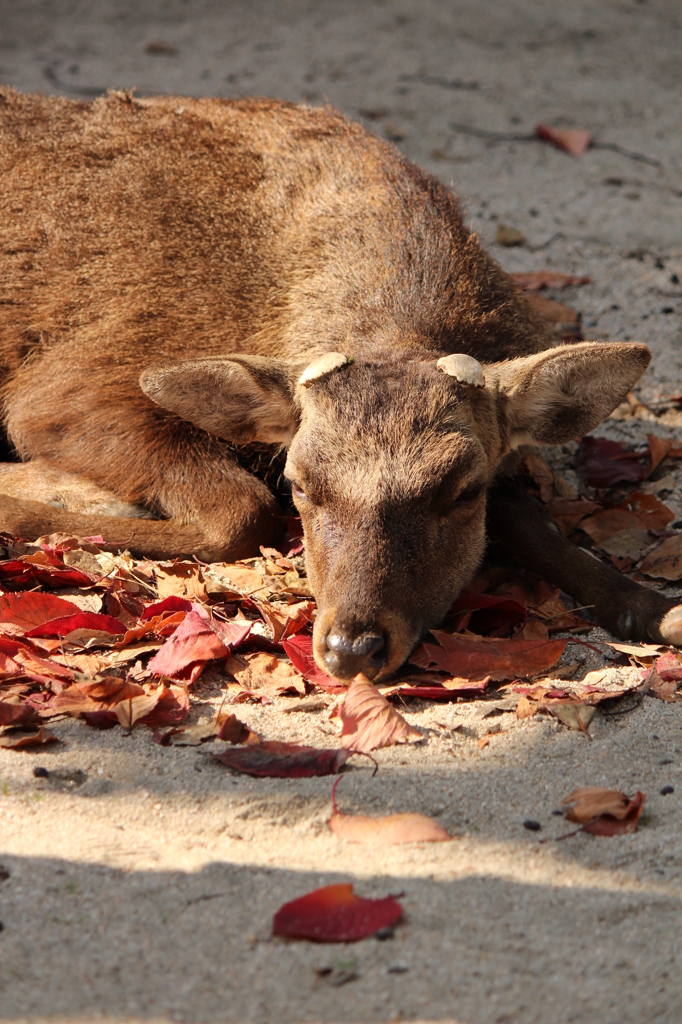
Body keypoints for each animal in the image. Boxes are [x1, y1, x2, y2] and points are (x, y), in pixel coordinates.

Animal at [1, 88, 679, 679]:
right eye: (300, 483)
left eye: (464, 489)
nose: (352, 647)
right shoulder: (67, 387)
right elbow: (244, 513)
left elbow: (530, 519)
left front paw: (653, 607)